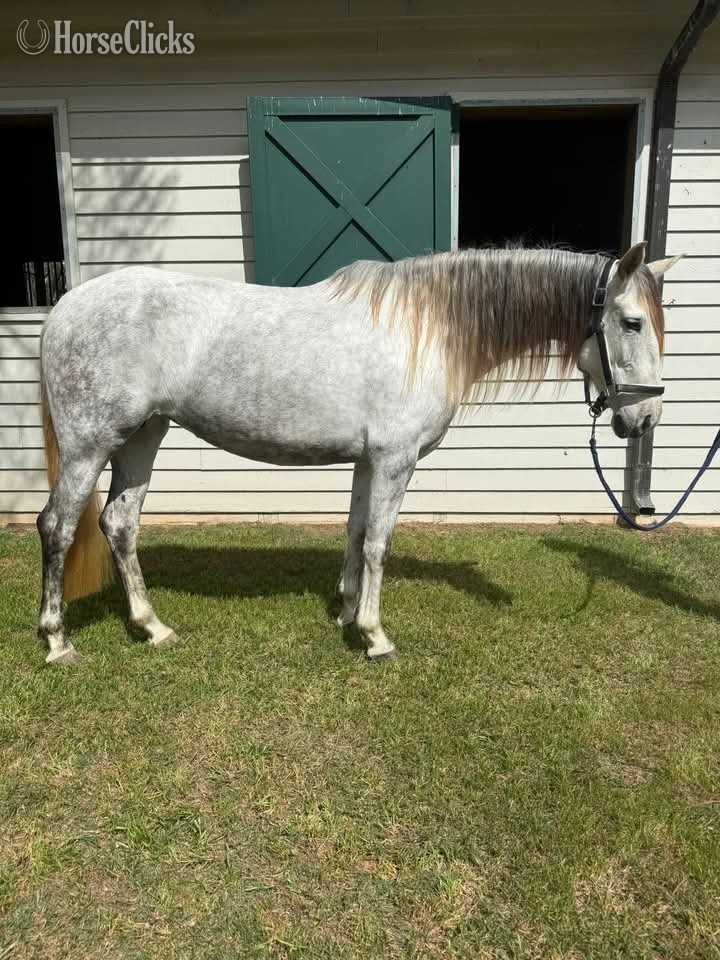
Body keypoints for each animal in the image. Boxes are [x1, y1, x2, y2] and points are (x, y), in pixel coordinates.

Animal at [36, 241, 678, 665]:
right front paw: (374, 635)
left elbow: (354, 531)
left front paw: (346, 611)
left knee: (119, 524)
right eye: (631, 322)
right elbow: (378, 543)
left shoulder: (369, 461)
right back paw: (57, 640)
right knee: (57, 527)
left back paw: (152, 627)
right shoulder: (396, 458)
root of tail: (63, 309)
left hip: (144, 435)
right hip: (90, 443)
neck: (430, 329)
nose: (644, 418)